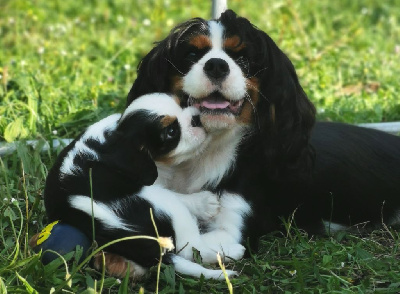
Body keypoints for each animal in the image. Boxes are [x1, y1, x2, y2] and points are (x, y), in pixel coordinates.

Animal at [43, 93, 247, 280]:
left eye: (182, 102)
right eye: (171, 132)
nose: (196, 118)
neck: (116, 137)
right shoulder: (153, 184)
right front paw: (206, 203)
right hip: (169, 207)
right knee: (192, 249)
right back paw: (233, 251)